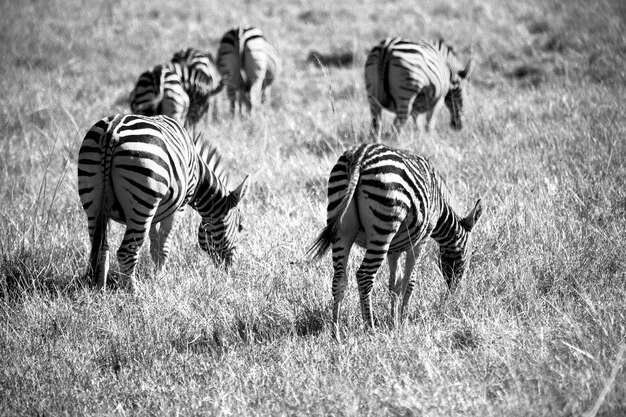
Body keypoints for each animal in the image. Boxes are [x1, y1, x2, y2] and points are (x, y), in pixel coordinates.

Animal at [75, 113, 246, 290]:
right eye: (240, 226)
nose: (230, 270)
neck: (198, 175)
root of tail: (111, 131)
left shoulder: (157, 210)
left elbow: (154, 245)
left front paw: (156, 276)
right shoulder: (179, 206)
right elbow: (164, 246)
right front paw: (161, 279)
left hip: (93, 200)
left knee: (101, 249)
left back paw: (99, 290)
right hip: (142, 201)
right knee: (126, 252)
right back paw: (133, 292)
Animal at [308, 143, 482, 338]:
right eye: (468, 255)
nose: (454, 294)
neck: (440, 210)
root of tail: (360, 156)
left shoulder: (394, 249)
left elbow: (394, 284)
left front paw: (394, 321)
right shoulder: (420, 240)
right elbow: (409, 282)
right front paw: (403, 320)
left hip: (342, 229)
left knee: (339, 279)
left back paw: (335, 332)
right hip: (383, 226)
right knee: (364, 276)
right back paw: (370, 328)